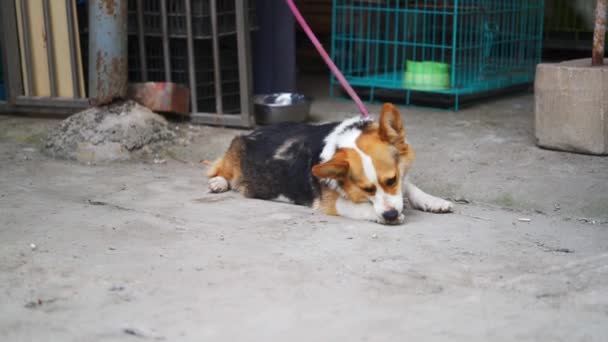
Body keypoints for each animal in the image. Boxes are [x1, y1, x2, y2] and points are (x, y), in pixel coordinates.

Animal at [208, 102, 452, 224]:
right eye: (366, 189)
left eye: (391, 180)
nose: (390, 216)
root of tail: (251, 133)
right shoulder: (333, 203)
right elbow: (362, 208)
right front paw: (384, 215)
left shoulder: (400, 177)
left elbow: (409, 186)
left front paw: (433, 201)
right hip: (234, 156)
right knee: (219, 168)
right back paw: (218, 182)